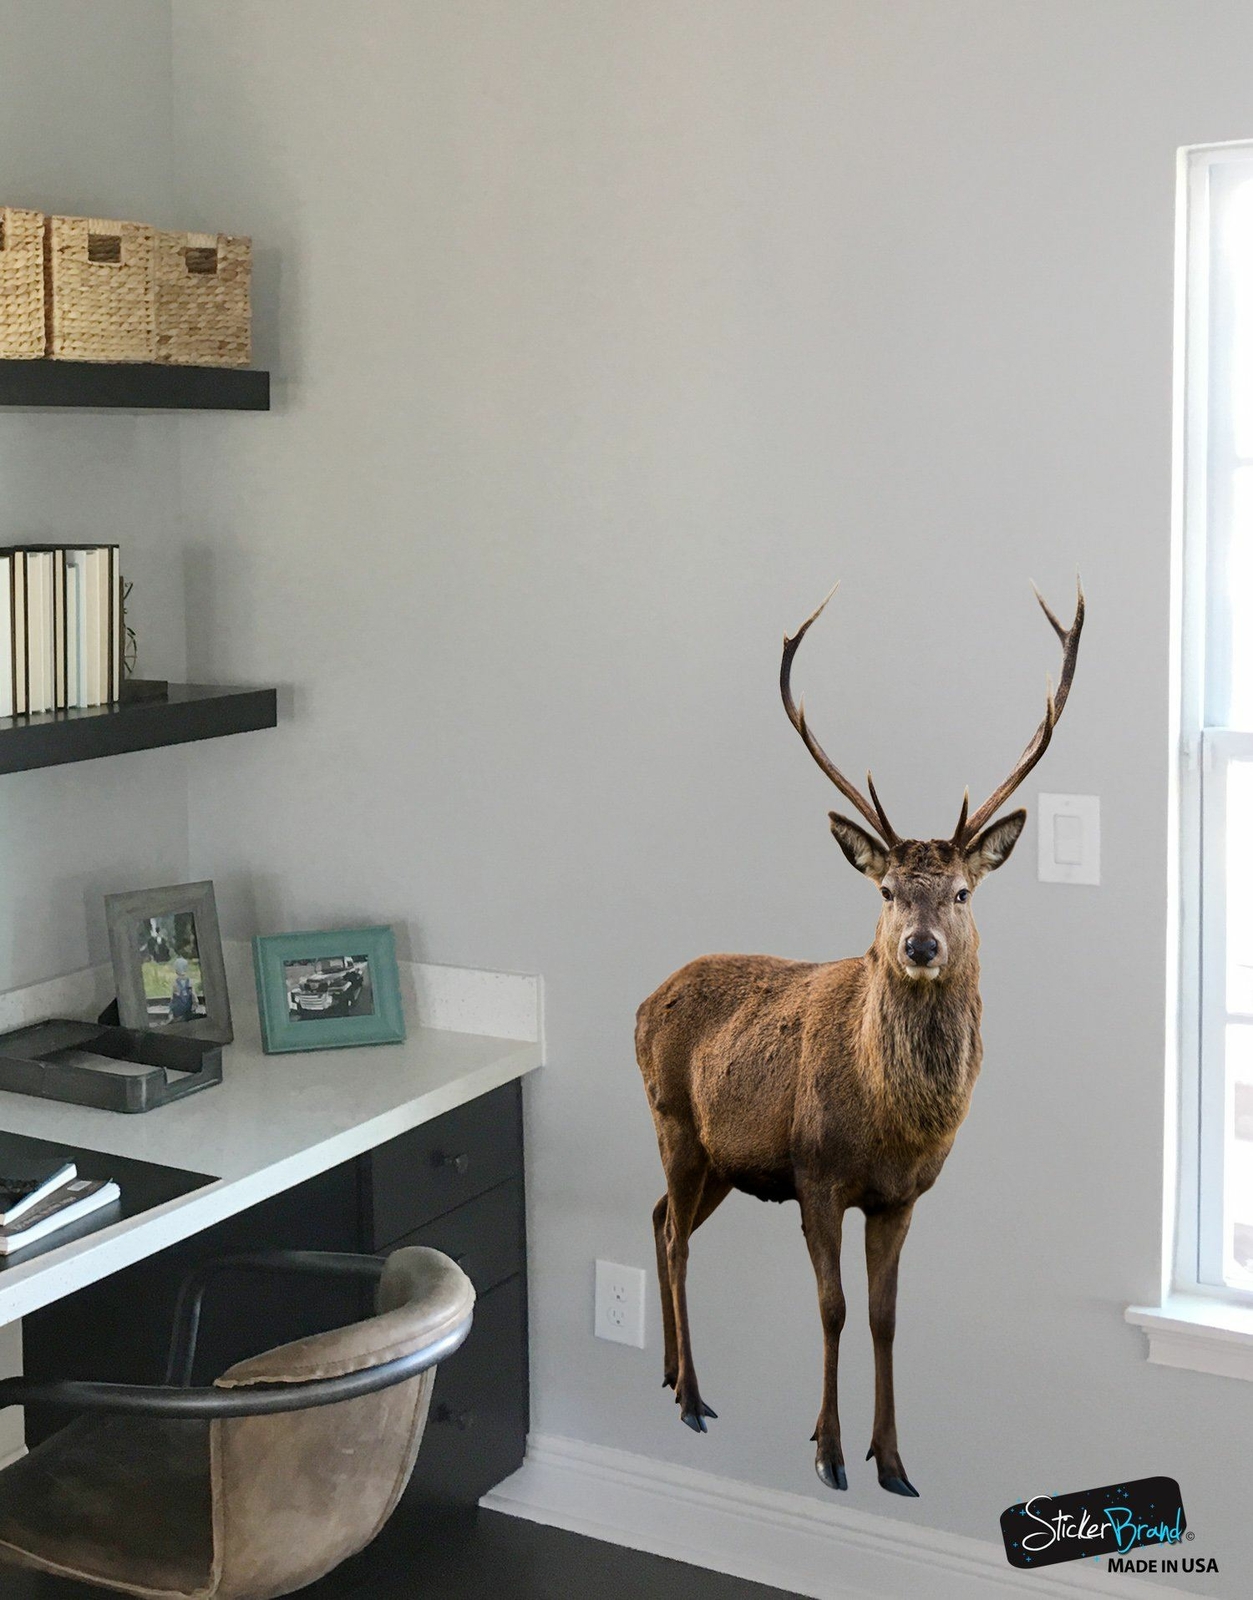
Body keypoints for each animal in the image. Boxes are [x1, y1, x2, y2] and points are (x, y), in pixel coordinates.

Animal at [636, 579, 1083, 1498]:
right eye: (885, 890)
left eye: (960, 891)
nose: (917, 946)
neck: (890, 1125)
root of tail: (636, 1005)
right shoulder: (814, 1174)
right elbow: (832, 1308)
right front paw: (829, 1452)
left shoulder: (902, 1196)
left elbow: (883, 1316)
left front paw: (895, 1462)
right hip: (674, 1122)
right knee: (674, 1236)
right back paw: (692, 1397)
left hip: (720, 1159)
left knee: (660, 1215)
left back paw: (666, 1372)